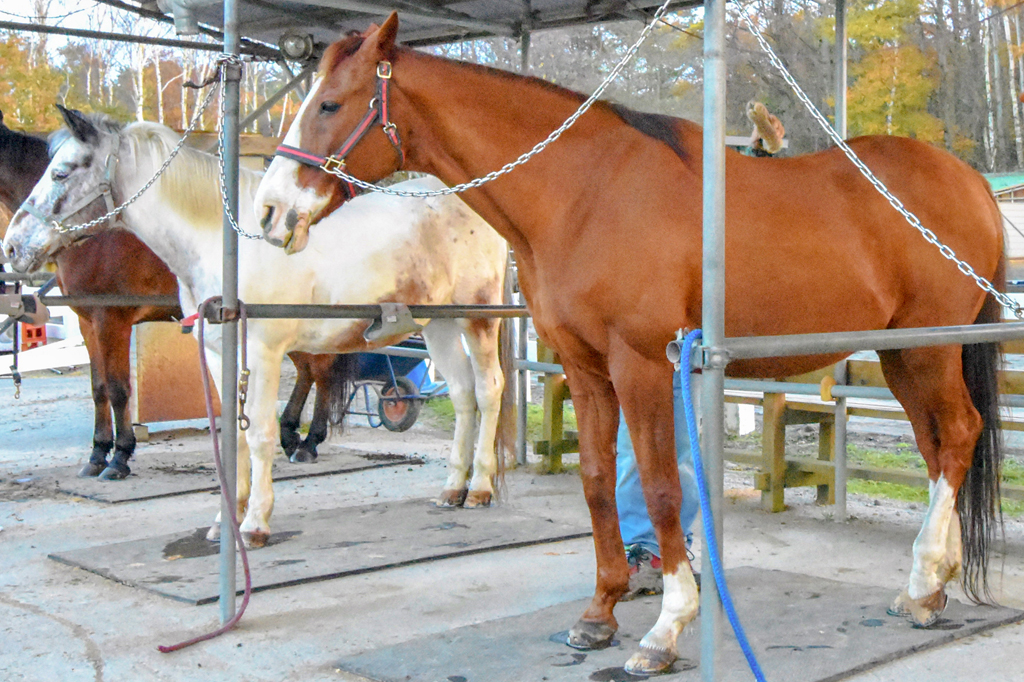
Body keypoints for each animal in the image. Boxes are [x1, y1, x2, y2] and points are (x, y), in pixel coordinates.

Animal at [0, 108, 348, 476]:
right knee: (308, 369)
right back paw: (291, 434)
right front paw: (97, 453)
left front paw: (120, 456)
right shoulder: (87, 322)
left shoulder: (112, 320)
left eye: (60, 173)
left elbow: (119, 389)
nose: (11, 247)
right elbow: (99, 389)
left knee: (321, 369)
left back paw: (308, 441)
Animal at [251, 15, 1006, 674]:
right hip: (901, 354)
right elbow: (594, 481)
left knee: (960, 436)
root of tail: (971, 183)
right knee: (939, 448)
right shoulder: (586, 369)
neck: (584, 192)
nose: (268, 212)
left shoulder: (640, 366)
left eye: (331, 104)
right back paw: (928, 587)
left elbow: (662, 486)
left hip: (931, 349)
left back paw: (924, 584)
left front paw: (667, 628)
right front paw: (600, 613)